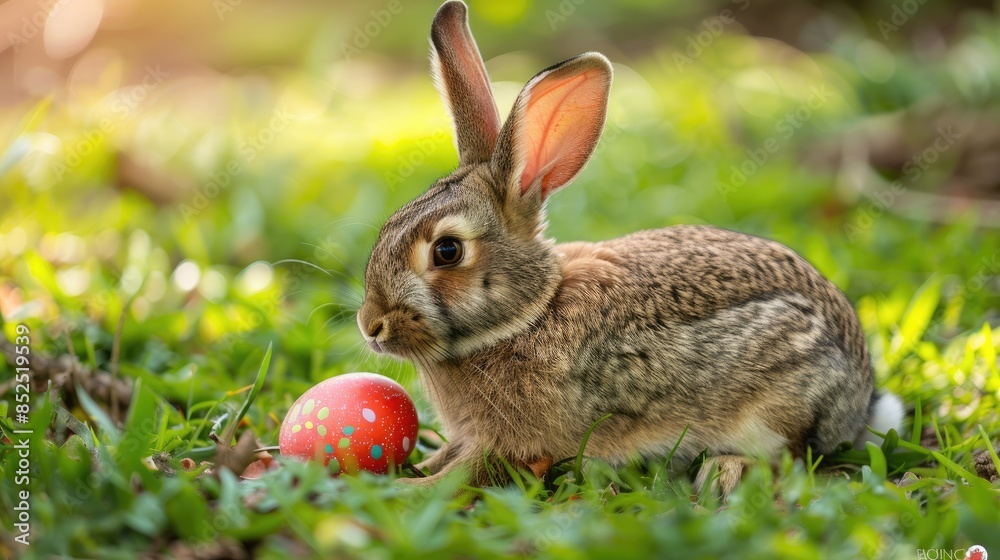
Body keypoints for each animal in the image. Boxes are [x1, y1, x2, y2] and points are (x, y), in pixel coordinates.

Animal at [356, 0, 905, 496]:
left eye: (447, 251)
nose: (370, 325)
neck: (528, 315)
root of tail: (860, 399)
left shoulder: (518, 446)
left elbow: (467, 475)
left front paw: (404, 491)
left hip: (776, 404)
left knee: (790, 458)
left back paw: (725, 471)